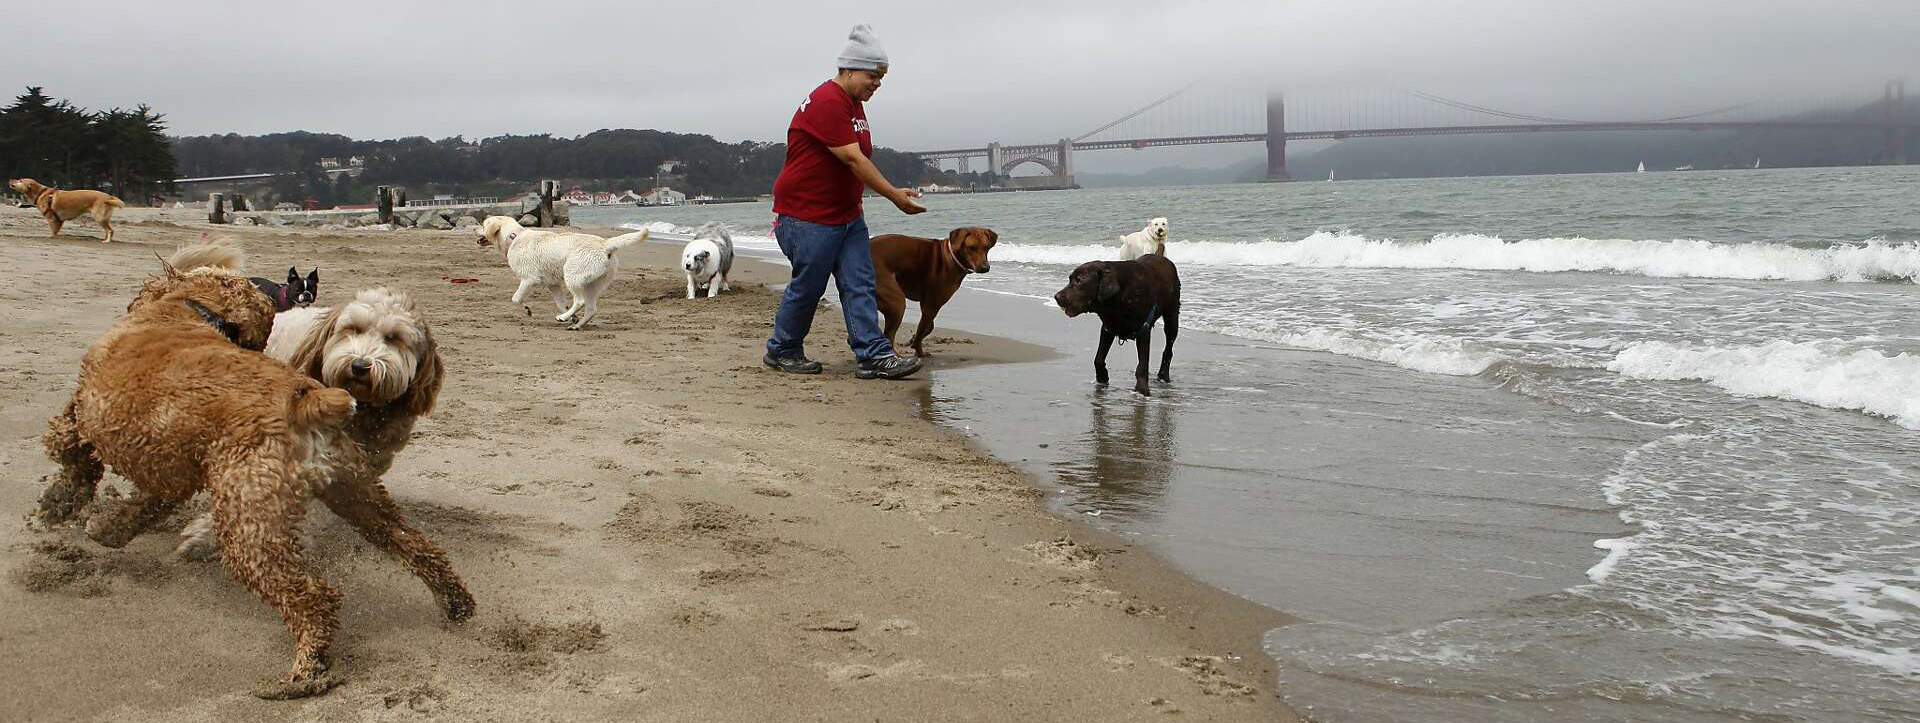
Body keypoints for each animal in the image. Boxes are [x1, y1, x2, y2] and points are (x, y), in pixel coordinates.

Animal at [474, 212, 648, 327]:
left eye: (483, 224)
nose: (474, 229)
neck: (513, 237)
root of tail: (605, 244)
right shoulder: (553, 284)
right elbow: (561, 303)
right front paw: (573, 317)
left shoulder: (529, 279)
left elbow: (516, 299)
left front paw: (527, 310)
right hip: (592, 284)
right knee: (591, 308)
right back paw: (576, 325)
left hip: (572, 275)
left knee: (580, 301)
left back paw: (562, 318)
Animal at [867, 226, 998, 356]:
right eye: (972, 247)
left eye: (986, 247)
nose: (985, 268)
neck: (951, 257)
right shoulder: (931, 305)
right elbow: (923, 328)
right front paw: (919, 350)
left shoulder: (926, 303)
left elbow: (929, 327)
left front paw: (913, 341)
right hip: (896, 301)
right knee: (889, 334)